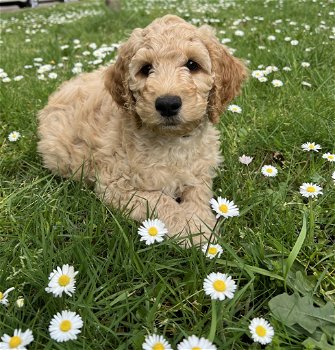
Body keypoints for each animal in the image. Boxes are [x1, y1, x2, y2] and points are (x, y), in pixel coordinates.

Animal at [37, 15, 247, 246]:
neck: (172, 142)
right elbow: (161, 201)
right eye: (146, 69)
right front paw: (195, 232)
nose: (167, 104)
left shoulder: (200, 171)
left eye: (192, 64)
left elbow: (198, 194)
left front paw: (202, 224)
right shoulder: (117, 186)